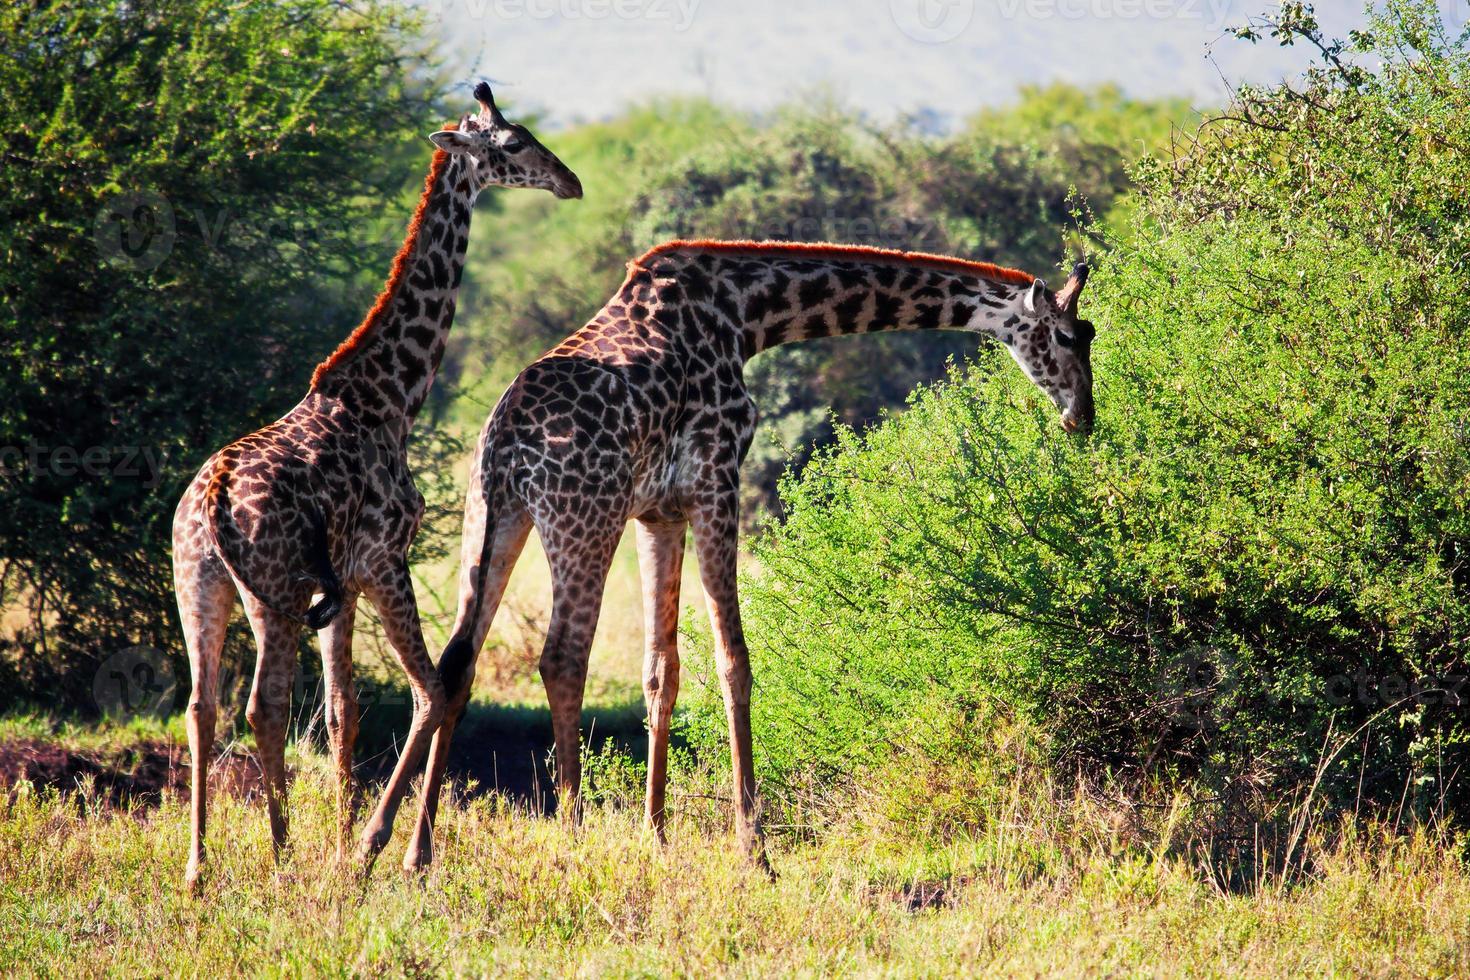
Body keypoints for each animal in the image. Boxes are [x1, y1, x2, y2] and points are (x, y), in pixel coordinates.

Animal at [169, 80, 582, 887]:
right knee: (261, 706)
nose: (571, 181)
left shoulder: (348, 583)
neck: (392, 395)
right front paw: (366, 849)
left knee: (202, 707)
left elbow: (343, 712)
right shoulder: (385, 560)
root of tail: (214, 501)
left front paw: (342, 841)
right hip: (275, 595)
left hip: (199, 585)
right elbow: (433, 688)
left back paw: (201, 869)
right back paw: (280, 855)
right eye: (513, 144)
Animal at [402, 239, 1093, 875]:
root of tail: (504, 444)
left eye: (1087, 335)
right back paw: (572, 839)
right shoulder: (716, 478)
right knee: (562, 659)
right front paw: (754, 849)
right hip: (583, 518)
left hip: (492, 519)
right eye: (1066, 336)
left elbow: (661, 670)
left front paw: (657, 839)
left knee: (458, 661)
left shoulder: (659, 511)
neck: (747, 314)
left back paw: (414, 848)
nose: (1082, 416)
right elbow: (733, 660)